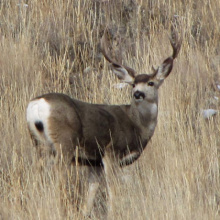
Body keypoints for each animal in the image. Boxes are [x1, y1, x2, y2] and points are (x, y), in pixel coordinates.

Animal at [25, 28, 181, 216]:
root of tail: (37, 104)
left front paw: (85, 213)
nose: (138, 94)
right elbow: (113, 189)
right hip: (64, 143)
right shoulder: (111, 152)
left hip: (39, 144)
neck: (137, 125)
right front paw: (114, 213)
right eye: (133, 84)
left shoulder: (95, 163)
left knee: (36, 176)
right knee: (57, 176)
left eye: (151, 83)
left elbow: (91, 192)